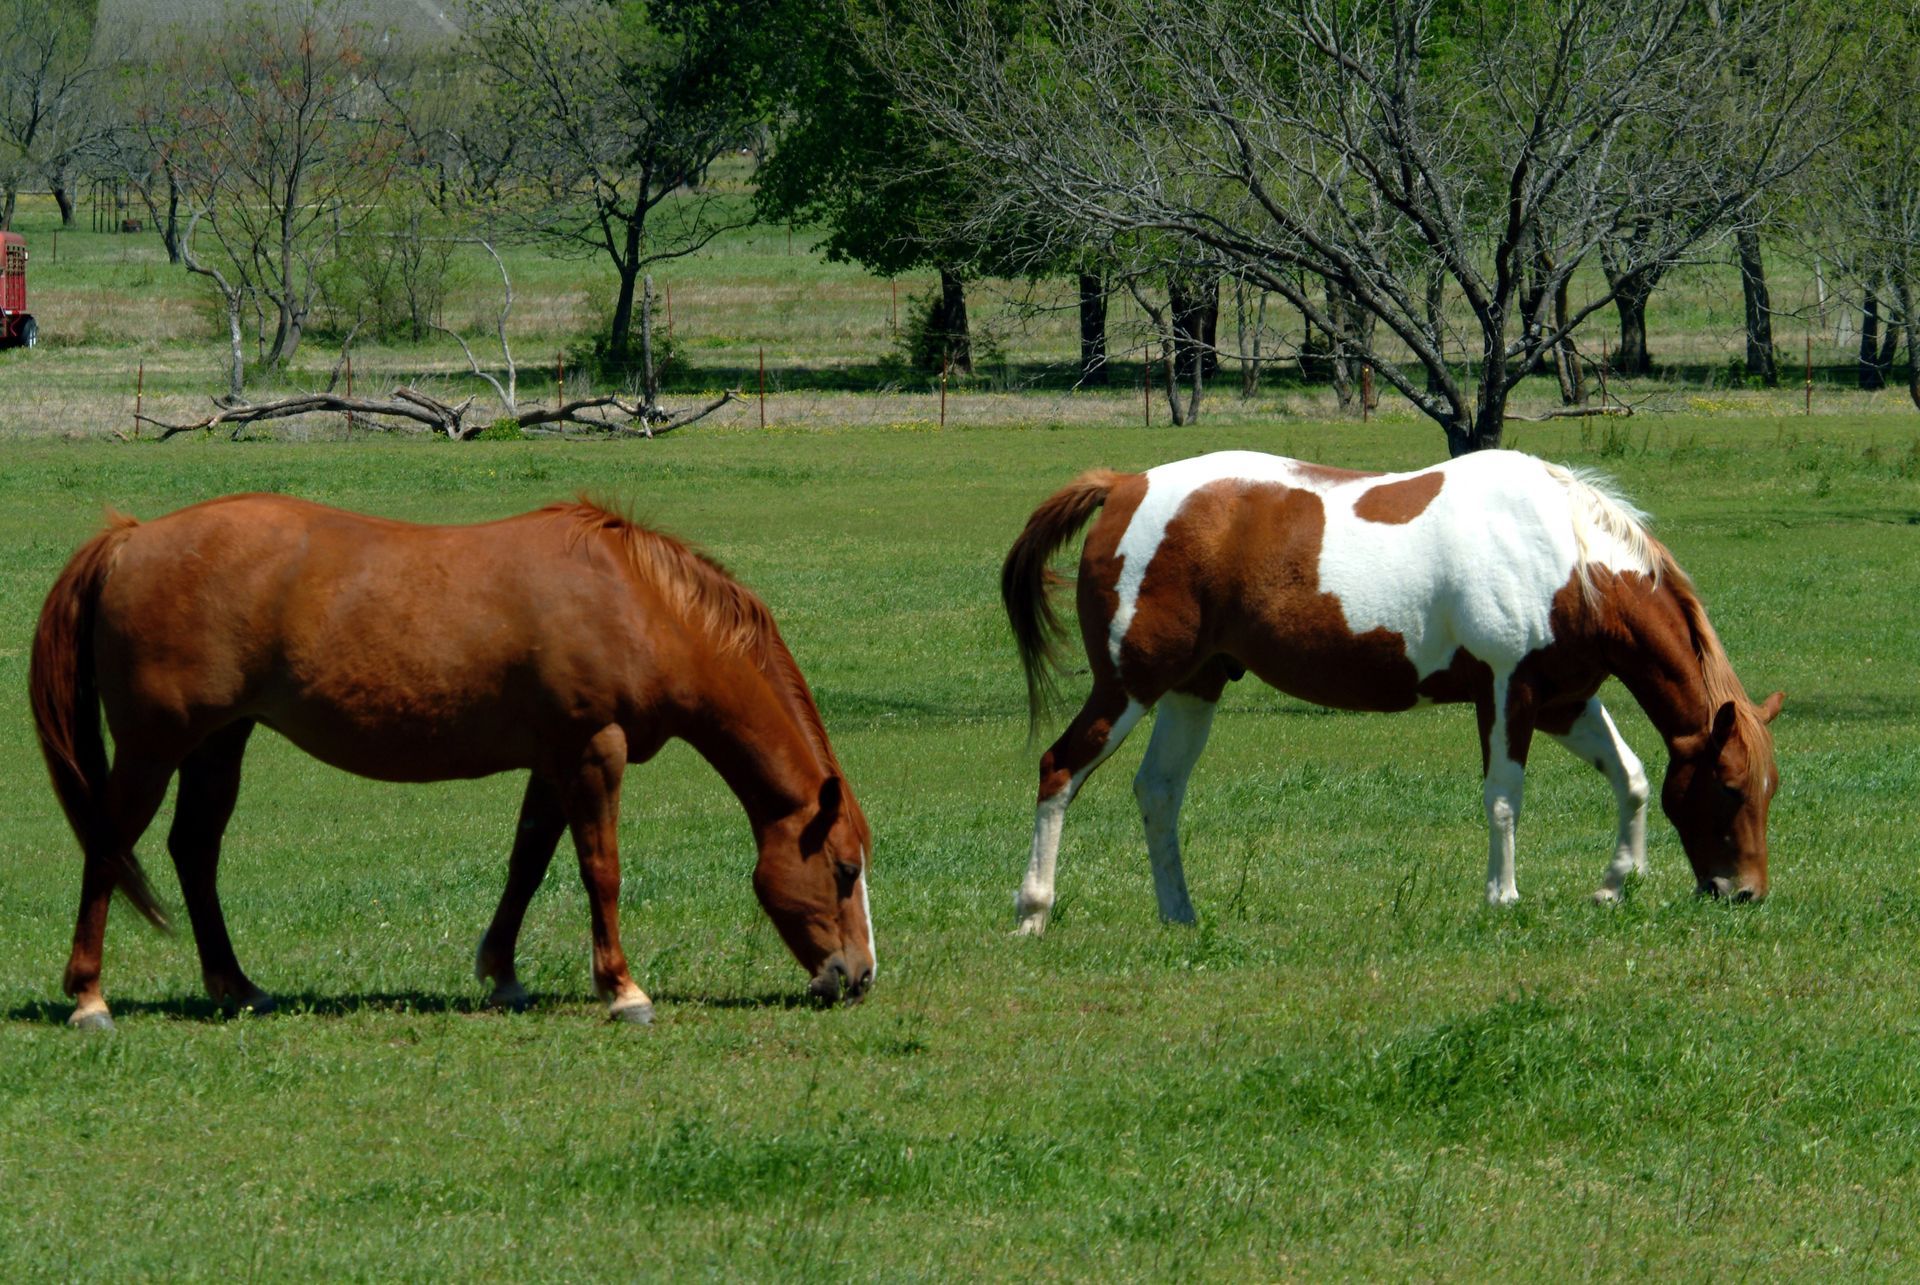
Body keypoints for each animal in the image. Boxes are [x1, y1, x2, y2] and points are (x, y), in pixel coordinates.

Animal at [30, 495, 875, 1030]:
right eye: (842, 870)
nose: (858, 975)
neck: (636, 604)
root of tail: (133, 538)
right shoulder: (593, 750)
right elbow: (600, 869)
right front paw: (624, 990)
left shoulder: (555, 758)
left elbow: (527, 863)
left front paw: (502, 972)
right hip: (154, 746)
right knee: (109, 846)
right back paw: (90, 998)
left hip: (217, 743)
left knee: (194, 851)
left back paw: (237, 986)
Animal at [1001, 449, 1782, 932]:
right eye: (1731, 789)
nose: (1745, 893)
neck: (1566, 557)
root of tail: (1124, 484)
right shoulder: (1507, 693)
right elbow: (1504, 799)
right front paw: (1503, 898)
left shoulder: (1563, 701)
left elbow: (1634, 777)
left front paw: (1614, 884)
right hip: (1129, 686)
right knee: (1060, 768)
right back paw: (1034, 909)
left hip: (1194, 687)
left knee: (1159, 791)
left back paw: (1180, 913)